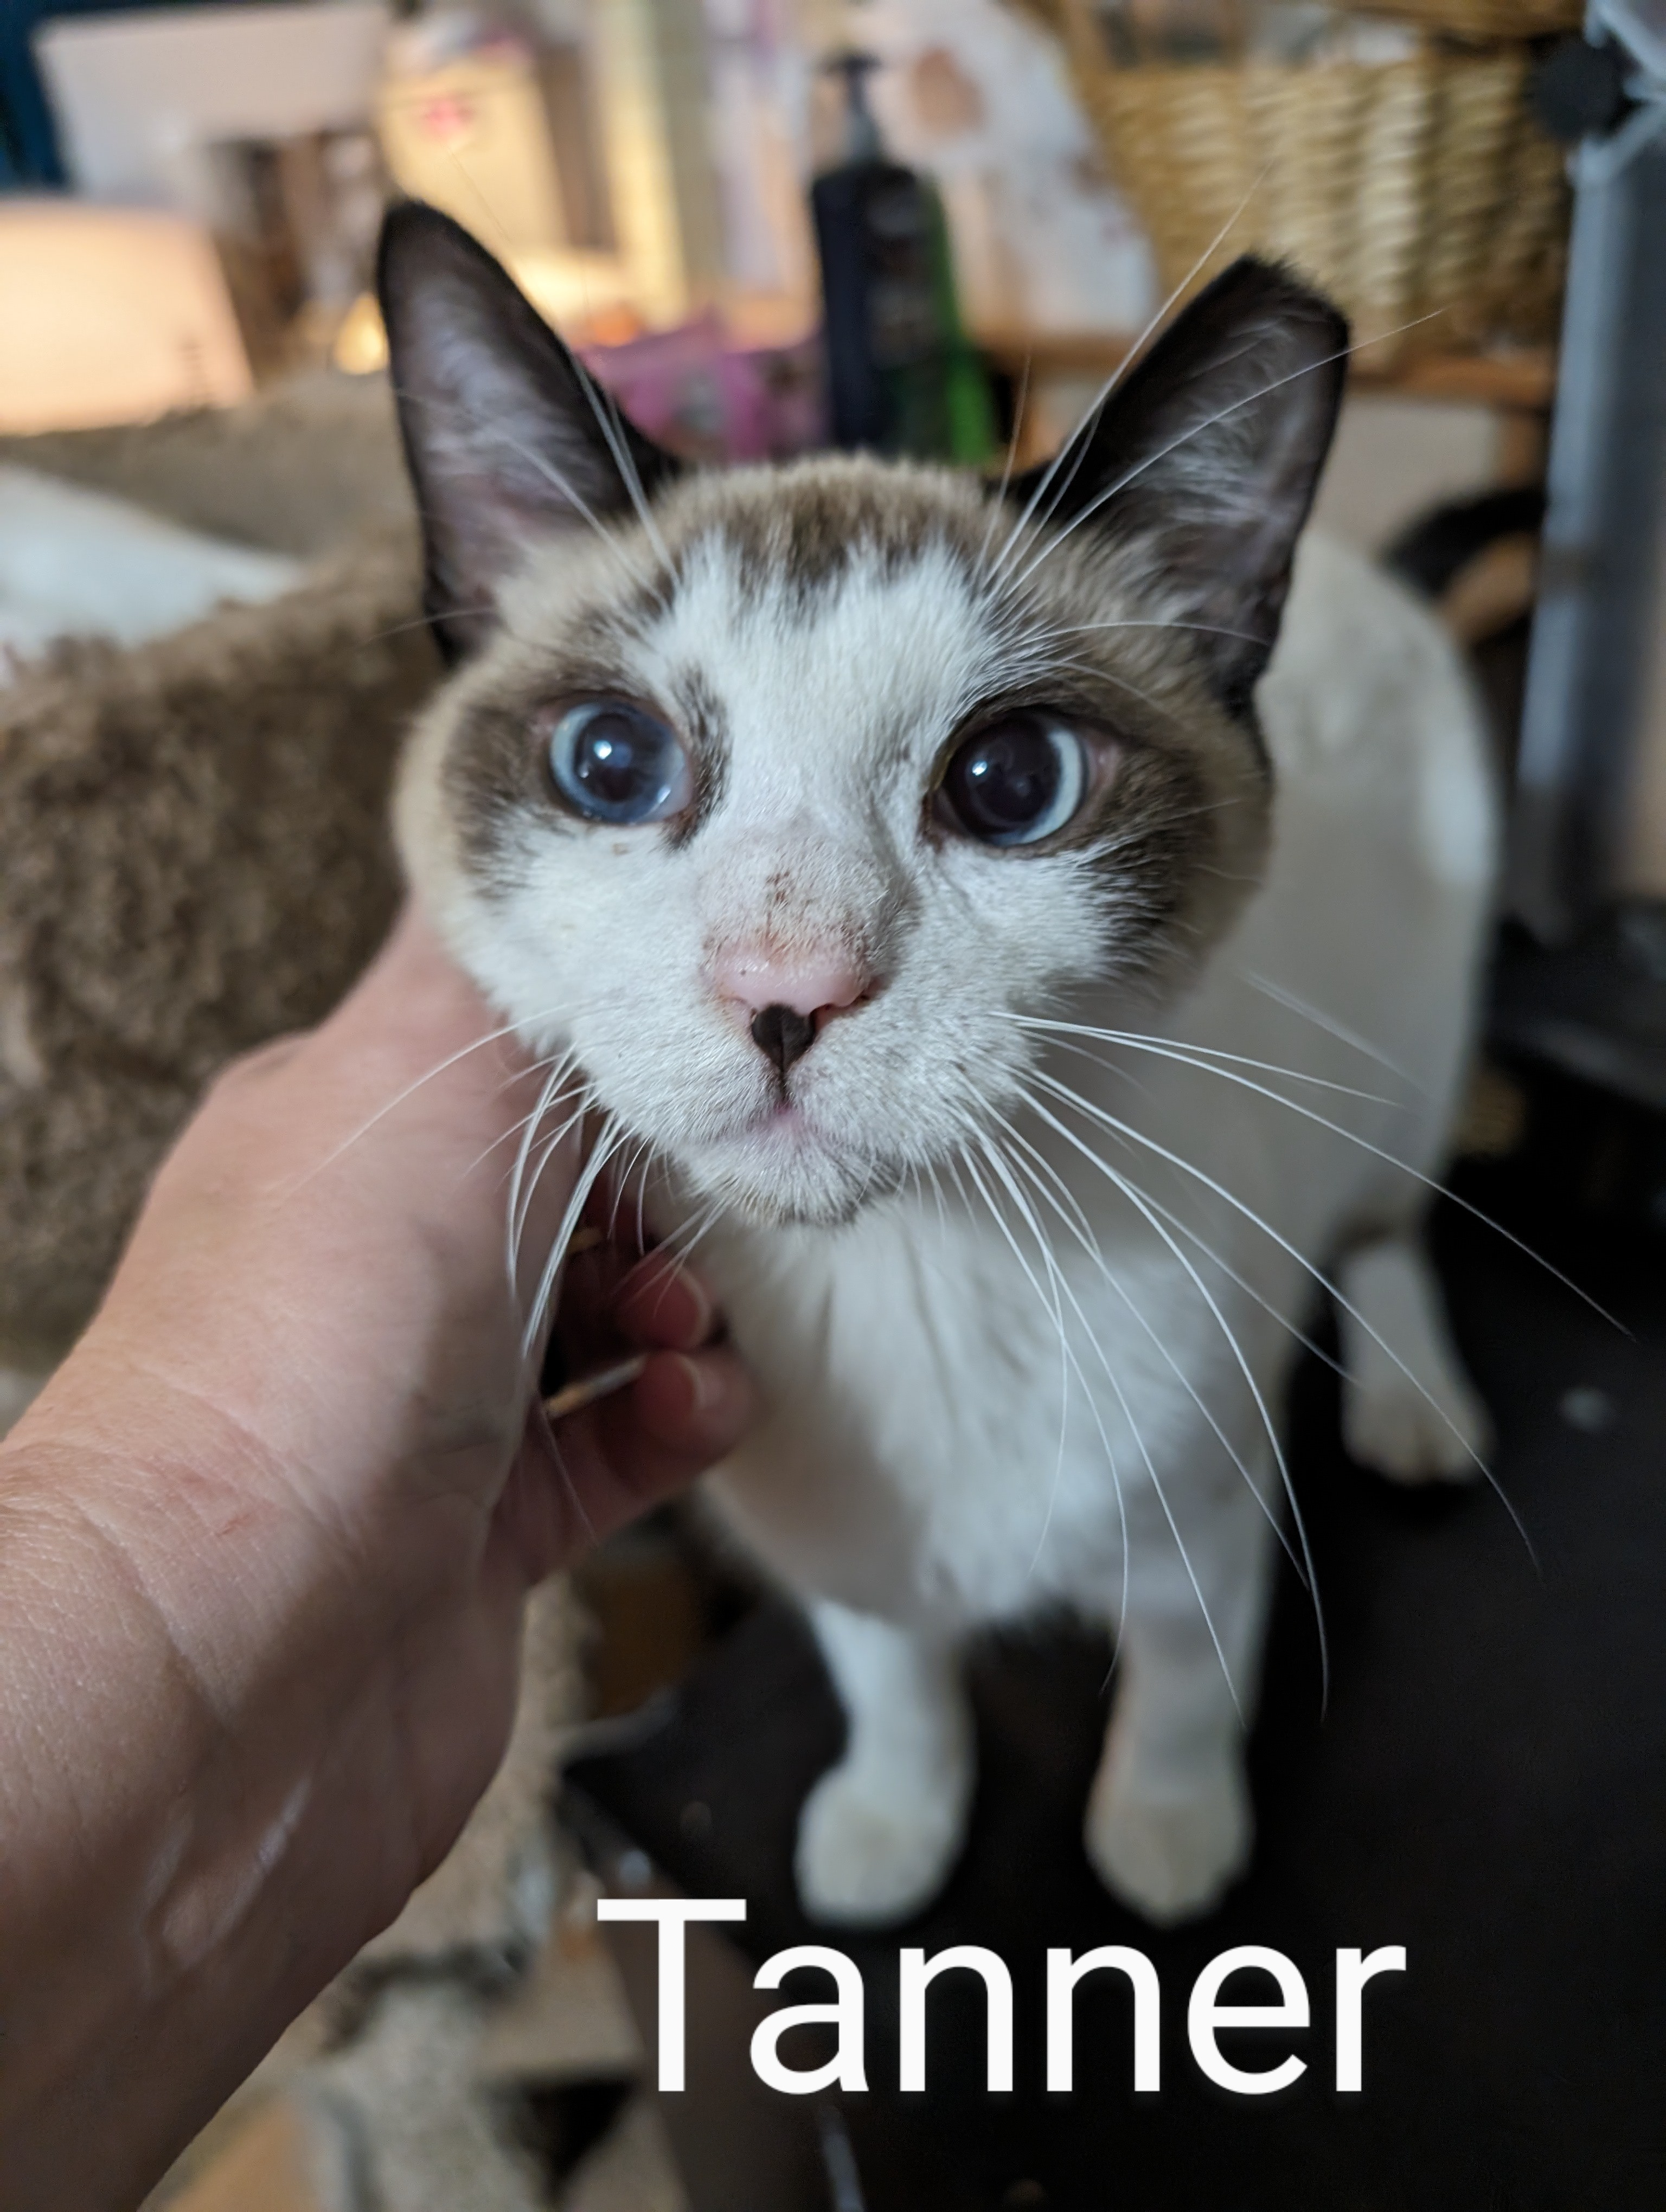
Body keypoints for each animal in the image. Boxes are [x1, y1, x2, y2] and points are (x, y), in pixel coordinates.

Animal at [376, 211, 1495, 1938]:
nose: (785, 988)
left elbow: (1185, 1679)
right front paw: (891, 1832)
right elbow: (894, 1684)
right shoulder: (838, 1554)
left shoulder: (1210, 1504)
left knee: (1390, 1222)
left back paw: (1416, 1406)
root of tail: (1369, 574)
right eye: (610, 764)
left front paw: (1166, 1842)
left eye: (1011, 781)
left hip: (1409, 1068)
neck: (903, 1285)